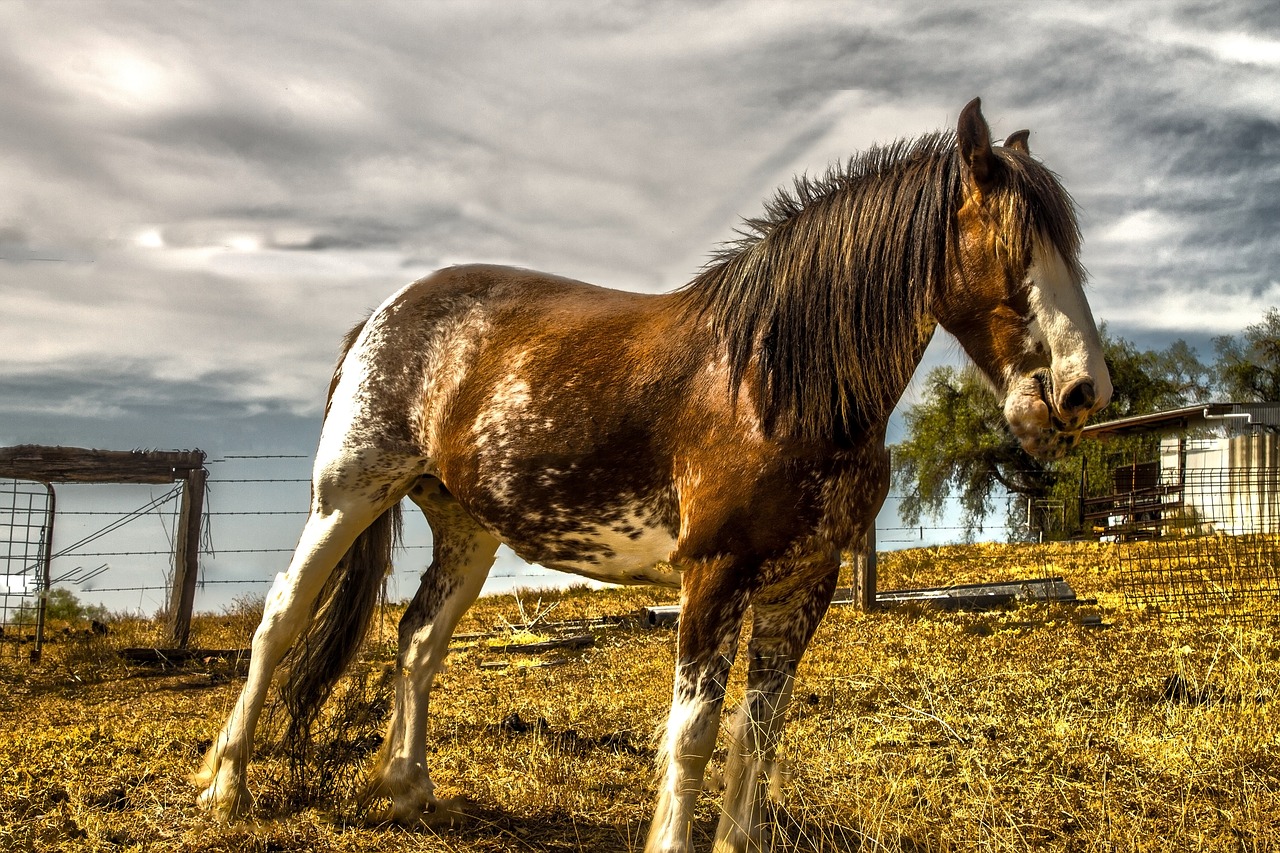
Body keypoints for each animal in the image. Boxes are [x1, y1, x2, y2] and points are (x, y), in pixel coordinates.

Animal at [194, 101, 1116, 850]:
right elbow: (693, 733)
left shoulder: (803, 584)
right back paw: (225, 785)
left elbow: (759, 732)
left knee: (419, 638)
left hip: (468, 527)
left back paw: (407, 789)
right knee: (281, 618)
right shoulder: (712, 576)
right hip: (349, 494)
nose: (1083, 392)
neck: (772, 379)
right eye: (1011, 248)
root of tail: (383, 315)